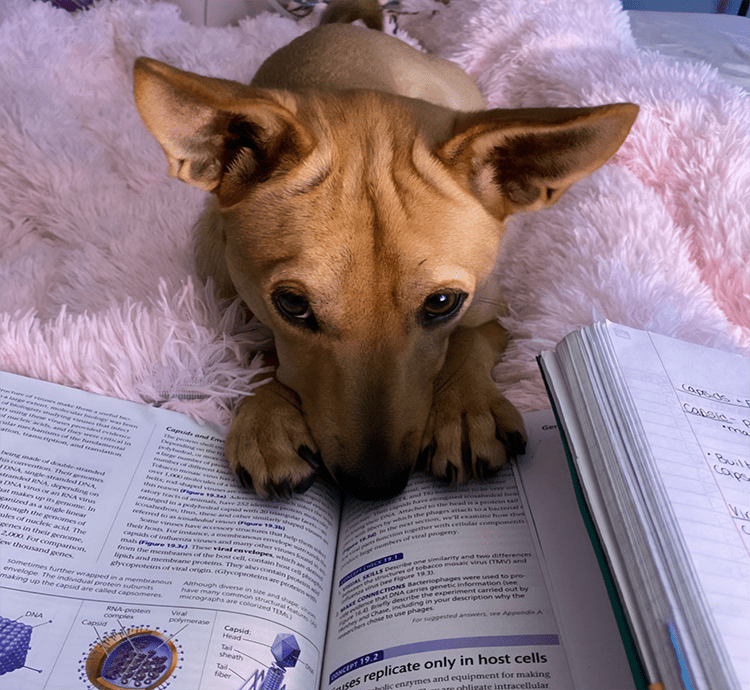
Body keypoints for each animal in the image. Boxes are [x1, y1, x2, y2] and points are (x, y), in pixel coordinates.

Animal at [134, 0, 640, 494]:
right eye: (293, 304)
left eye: (443, 302)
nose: (374, 486)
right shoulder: (225, 303)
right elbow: (258, 348)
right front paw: (268, 415)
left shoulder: (492, 310)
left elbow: (468, 341)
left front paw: (465, 410)